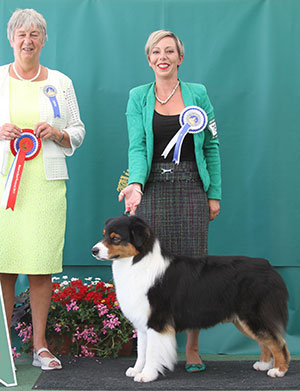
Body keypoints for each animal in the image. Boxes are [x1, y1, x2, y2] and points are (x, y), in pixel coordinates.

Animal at [92, 214, 290, 382]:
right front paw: (136, 370)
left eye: (115, 238)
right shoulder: (142, 323)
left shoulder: (157, 320)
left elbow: (152, 352)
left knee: (278, 342)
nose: (94, 250)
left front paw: (146, 375)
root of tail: (270, 267)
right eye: (104, 235)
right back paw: (264, 365)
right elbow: (142, 350)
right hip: (242, 320)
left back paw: (278, 370)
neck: (137, 262)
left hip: (252, 316)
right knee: (266, 342)